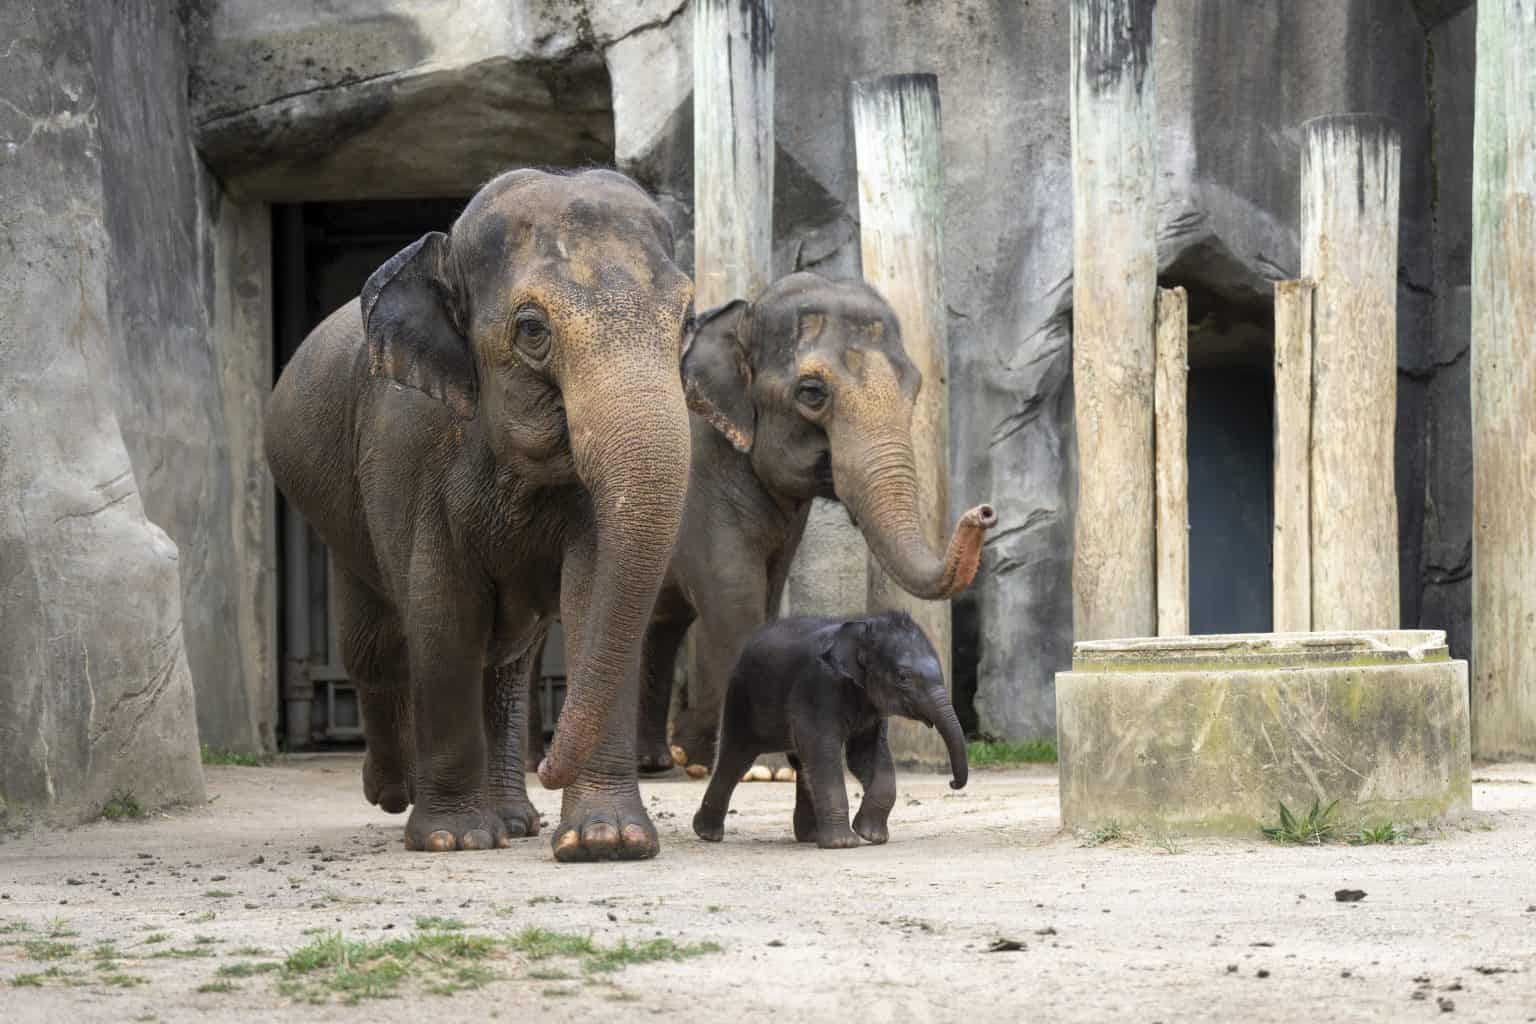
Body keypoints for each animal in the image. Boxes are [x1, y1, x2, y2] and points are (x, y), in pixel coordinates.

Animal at [264, 168, 695, 861]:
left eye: (687, 321)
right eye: (532, 330)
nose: (549, 767)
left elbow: (591, 592)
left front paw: (606, 841)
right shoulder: (405, 443)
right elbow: (443, 609)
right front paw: (453, 839)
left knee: (508, 662)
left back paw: (514, 820)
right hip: (336, 518)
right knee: (373, 647)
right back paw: (394, 793)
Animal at [692, 610, 967, 848]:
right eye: (903, 677)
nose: (952, 782)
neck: (863, 629)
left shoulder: (871, 706)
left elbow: (865, 756)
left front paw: (871, 835)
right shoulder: (818, 687)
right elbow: (824, 749)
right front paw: (843, 843)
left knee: (800, 762)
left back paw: (810, 836)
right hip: (741, 695)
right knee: (736, 757)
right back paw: (707, 834)